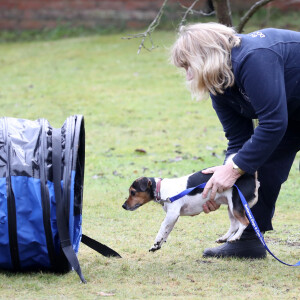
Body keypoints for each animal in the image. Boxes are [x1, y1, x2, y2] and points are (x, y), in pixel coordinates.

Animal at [121, 156, 258, 252]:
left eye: (132, 192)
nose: (123, 206)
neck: (161, 189)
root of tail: (251, 177)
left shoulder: (172, 214)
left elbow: (162, 229)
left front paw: (156, 243)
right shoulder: (173, 217)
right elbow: (167, 231)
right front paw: (158, 245)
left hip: (236, 205)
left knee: (244, 223)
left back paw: (235, 238)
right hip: (231, 207)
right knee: (234, 225)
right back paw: (224, 238)